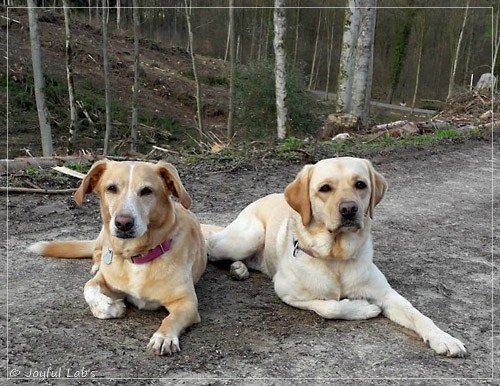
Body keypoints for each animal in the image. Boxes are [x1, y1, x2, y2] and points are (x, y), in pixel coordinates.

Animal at [30, 160, 206, 356]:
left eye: (146, 191)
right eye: (111, 188)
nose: (123, 223)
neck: (137, 256)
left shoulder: (187, 302)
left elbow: (171, 319)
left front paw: (163, 337)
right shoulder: (104, 281)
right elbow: (88, 288)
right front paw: (110, 307)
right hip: (102, 234)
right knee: (97, 252)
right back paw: (97, 265)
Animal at [205, 158, 466, 358]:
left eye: (360, 184)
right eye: (325, 188)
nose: (349, 209)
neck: (336, 257)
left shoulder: (387, 294)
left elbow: (417, 314)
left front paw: (443, 337)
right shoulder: (288, 292)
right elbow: (329, 306)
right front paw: (364, 308)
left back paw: (239, 268)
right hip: (248, 236)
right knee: (210, 248)